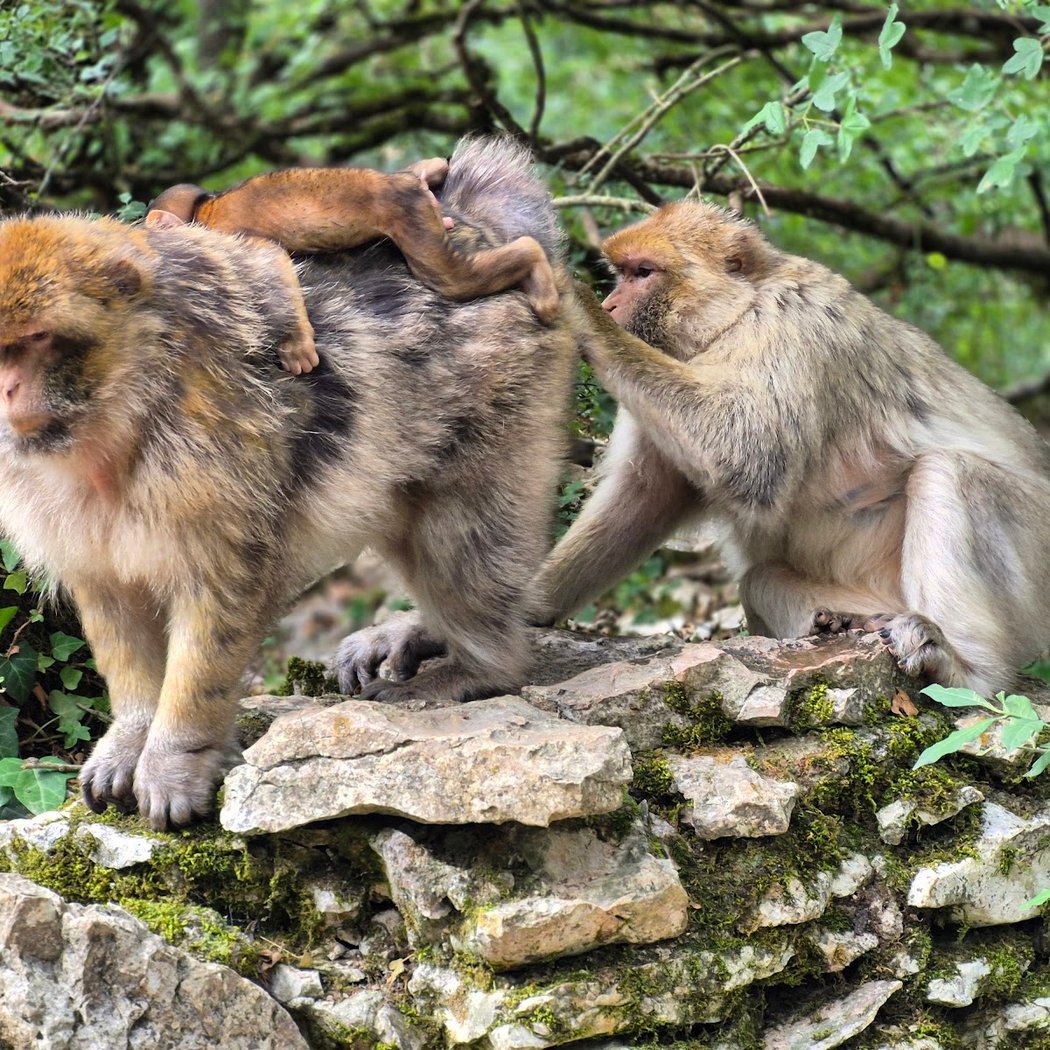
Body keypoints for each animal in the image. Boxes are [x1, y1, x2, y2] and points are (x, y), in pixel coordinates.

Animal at [144, 157, 560, 377]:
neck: (204, 211)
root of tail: (401, 185)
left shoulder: (228, 236)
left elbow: (273, 261)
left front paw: (297, 346)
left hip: (408, 212)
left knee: (450, 277)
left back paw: (534, 262)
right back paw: (427, 169)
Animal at [340, 200, 1050, 700]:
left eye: (641, 273)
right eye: (621, 273)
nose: (611, 302)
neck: (733, 320)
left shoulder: (794, 328)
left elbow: (745, 453)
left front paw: (566, 299)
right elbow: (645, 497)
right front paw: (430, 628)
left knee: (950, 473)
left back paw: (965, 669)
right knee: (763, 579)